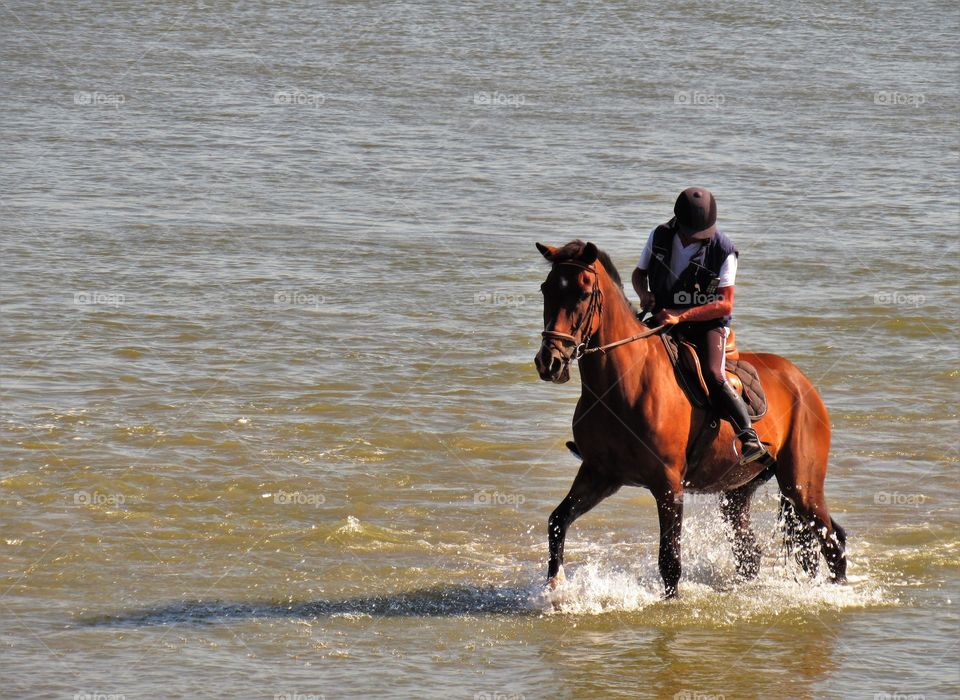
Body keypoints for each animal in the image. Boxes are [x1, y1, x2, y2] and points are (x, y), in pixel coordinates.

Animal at [532, 239, 848, 596]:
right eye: (546, 289)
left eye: (583, 294)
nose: (549, 362)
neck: (619, 386)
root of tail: (803, 383)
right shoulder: (600, 474)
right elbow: (558, 521)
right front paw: (555, 588)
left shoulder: (668, 485)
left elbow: (670, 562)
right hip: (738, 491)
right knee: (752, 552)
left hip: (801, 484)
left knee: (831, 539)